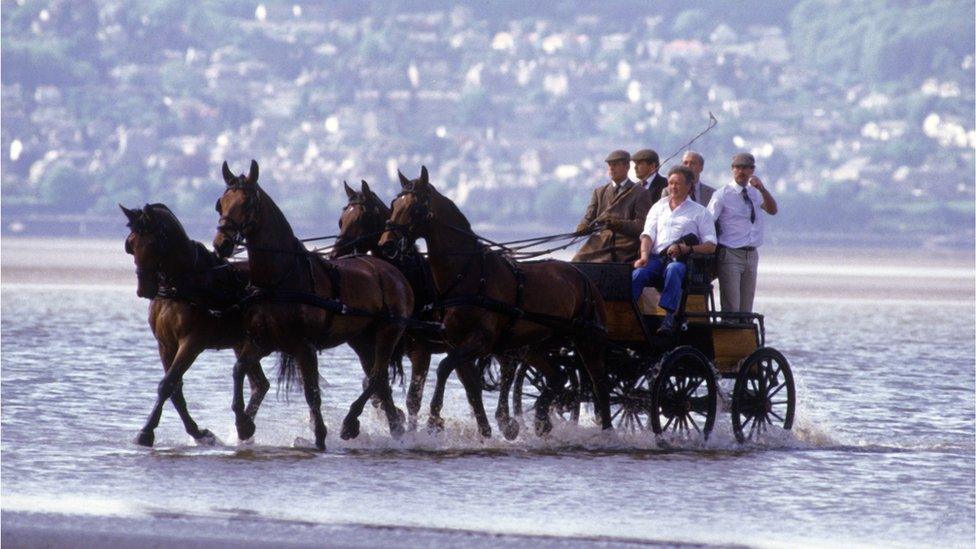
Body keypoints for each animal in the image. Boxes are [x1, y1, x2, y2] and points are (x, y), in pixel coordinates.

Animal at [120, 201, 270, 446]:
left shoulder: (192, 342)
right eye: (131, 244)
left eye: (153, 243)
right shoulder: (165, 345)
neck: (183, 286)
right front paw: (199, 433)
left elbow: (167, 384)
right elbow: (175, 390)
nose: (144, 289)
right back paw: (245, 427)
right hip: (241, 343)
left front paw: (146, 432)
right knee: (260, 384)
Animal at [212, 159, 414, 450]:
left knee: (376, 376)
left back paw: (351, 423)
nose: (222, 245)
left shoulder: (303, 345)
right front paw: (243, 423)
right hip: (362, 339)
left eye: (248, 203)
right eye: (222, 203)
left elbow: (312, 393)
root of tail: (393, 272)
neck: (282, 277)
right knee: (380, 381)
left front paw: (319, 435)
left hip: (389, 332)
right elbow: (239, 370)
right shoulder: (263, 340)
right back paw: (394, 426)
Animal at [330, 181, 524, 436]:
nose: (334, 254)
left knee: (508, 369)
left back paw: (506, 422)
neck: (409, 277)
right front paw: (397, 420)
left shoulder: (419, 349)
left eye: (362, 217)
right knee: (474, 382)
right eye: (341, 220)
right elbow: (380, 383)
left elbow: (411, 396)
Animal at [380, 167, 612, 436]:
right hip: (536, 343)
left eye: (415, 207)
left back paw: (607, 430)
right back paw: (542, 418)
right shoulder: (456, 342)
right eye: (394, 204)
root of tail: (583, 276)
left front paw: (434, 420)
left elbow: (444, 369)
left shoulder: (479, 340)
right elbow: (470, 386)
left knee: (600, 383)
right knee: (558, 377)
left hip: (587, 339)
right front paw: (488, 428)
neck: (467, 273)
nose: (386, 244)